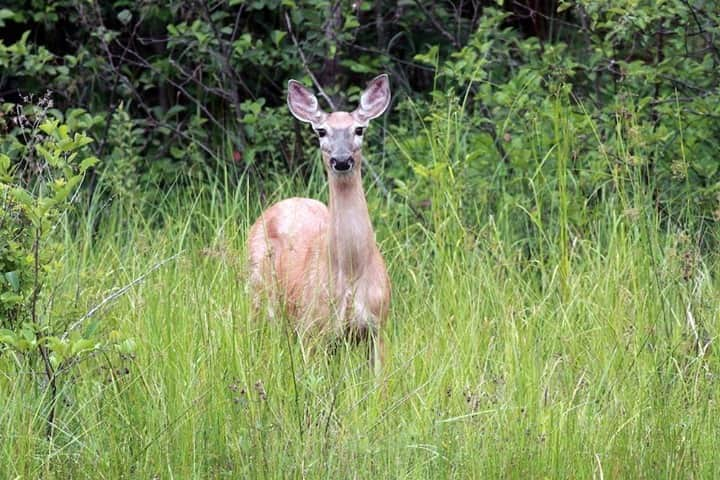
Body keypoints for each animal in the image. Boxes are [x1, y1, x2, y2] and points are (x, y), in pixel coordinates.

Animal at [248, 74, 394, 368]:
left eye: (359, 129)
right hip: (255, 288)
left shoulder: (378, 327)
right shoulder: (312, 328)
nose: (341, 160)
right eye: (321, 131)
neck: (351, 273)